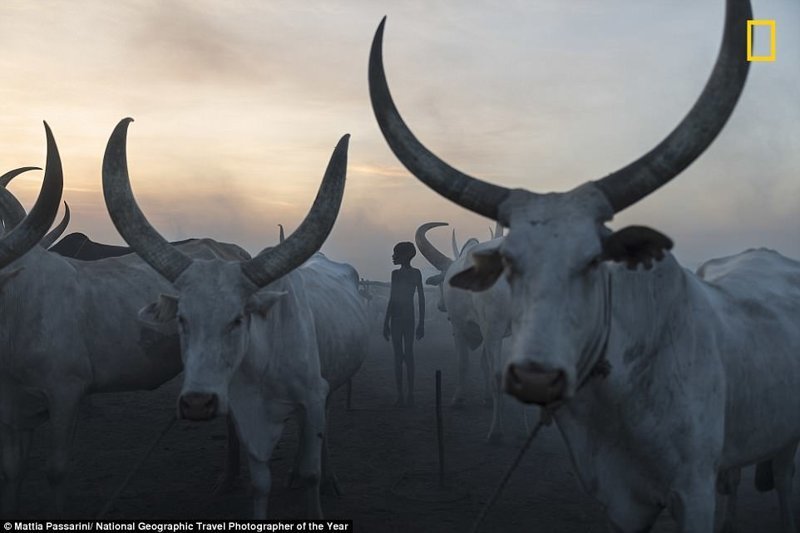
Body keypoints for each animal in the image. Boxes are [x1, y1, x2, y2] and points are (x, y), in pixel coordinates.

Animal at [101, 118, 370, 516]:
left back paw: (330, 478)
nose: (198, 404)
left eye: (238, 319)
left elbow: (311, 473)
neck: (264, 361)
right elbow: (260, 484)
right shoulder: (246, 412)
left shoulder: (312, 397)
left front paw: (314, 491)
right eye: (182, 319)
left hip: (329, 390)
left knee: (322, 438)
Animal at [370, 2, 800, 528]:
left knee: (784, 478)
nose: (538, 378)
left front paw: (476, 412)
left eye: (595, 259)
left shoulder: (692, 487)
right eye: (510, 262)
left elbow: (477, 368)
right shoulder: (618, 497)